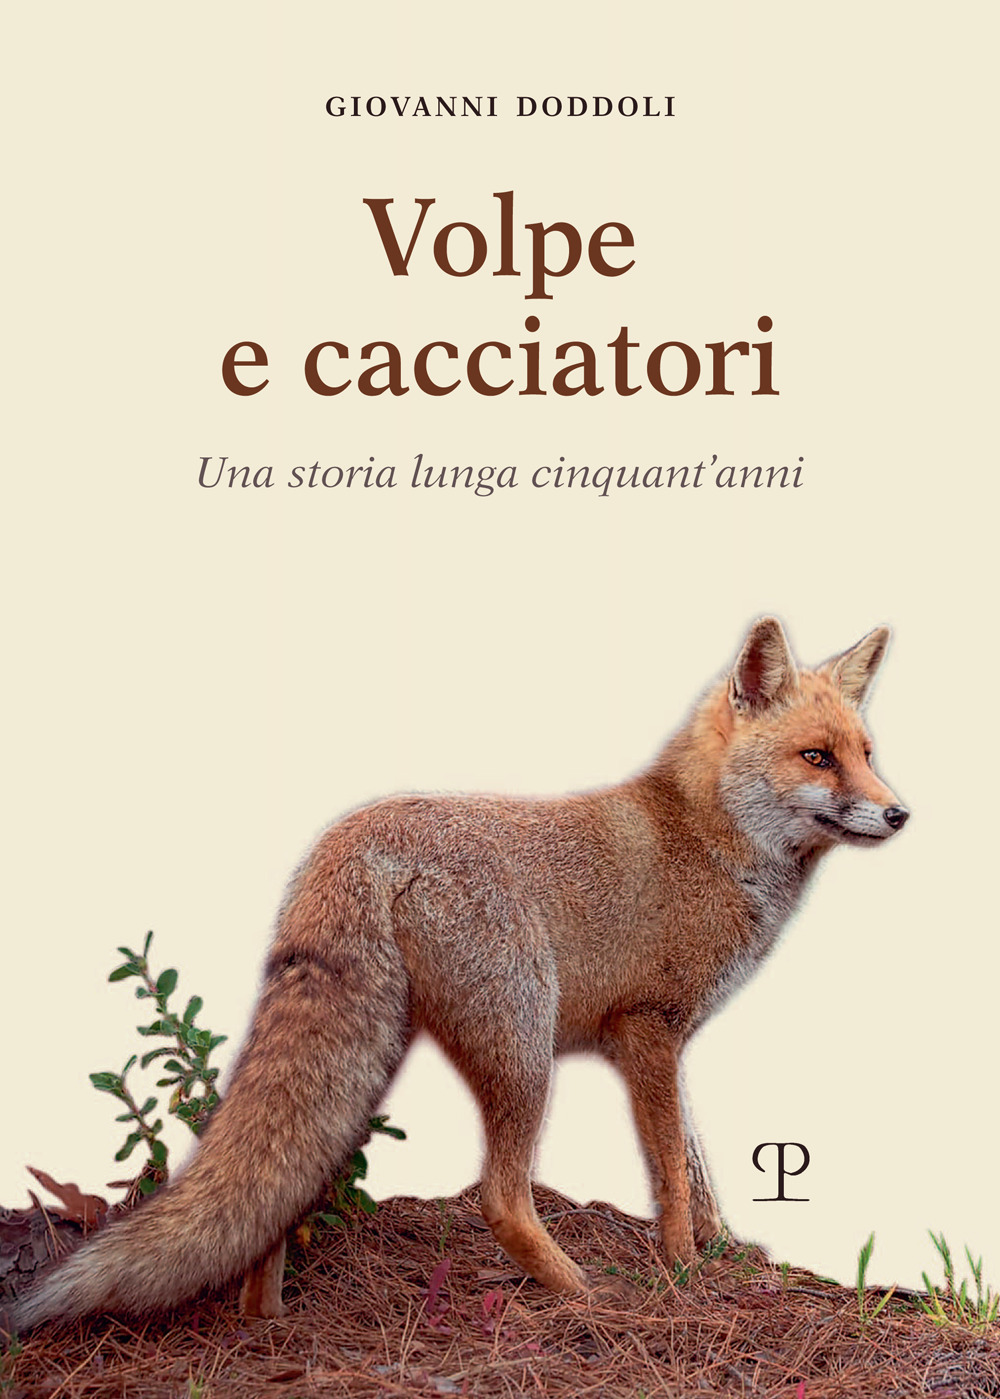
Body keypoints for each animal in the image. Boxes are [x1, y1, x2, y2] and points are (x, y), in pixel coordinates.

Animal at [3, 617, 908, 1332]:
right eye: (818, 757)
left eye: (868, 755)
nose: (900, 812)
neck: (709, 841)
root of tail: (346, 839)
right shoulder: (647, 1029)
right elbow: (674, 1180)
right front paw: (683, 1271)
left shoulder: (665, 1044)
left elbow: (698, 1163)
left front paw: (724, 1251)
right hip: (525, 1048)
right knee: (499, 1198)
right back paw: (584, 1295)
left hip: (374, 1068)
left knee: (273, 1202)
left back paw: (269, 1324)